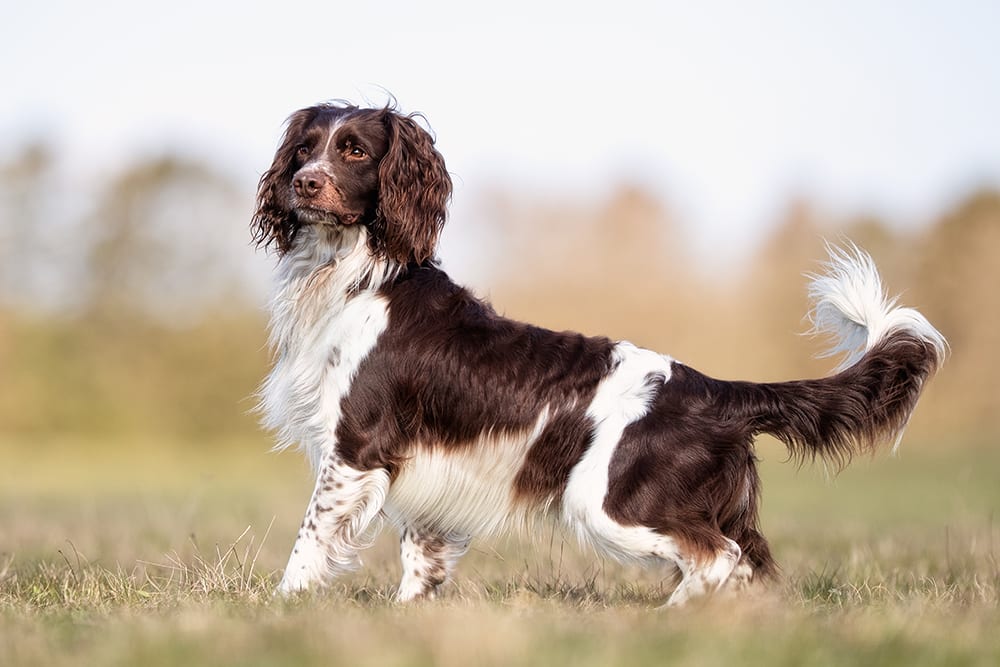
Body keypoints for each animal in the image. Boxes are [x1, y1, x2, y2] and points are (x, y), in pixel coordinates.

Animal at [250, 100, 944, 604]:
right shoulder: (425, 470)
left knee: (717, 558)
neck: (356, 278)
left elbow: (310, 540)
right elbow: (421, 559)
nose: (304, 184)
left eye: (355, 150)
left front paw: (283, 608)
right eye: (304, 149)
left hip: (611, 502)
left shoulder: (356, 446)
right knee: (748, 567)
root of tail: (716, 391)